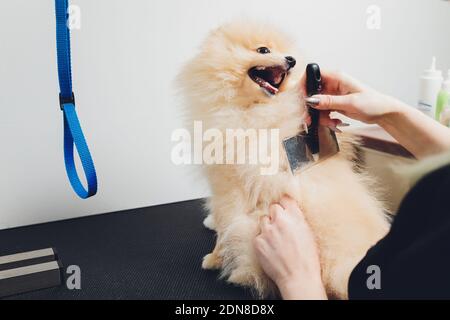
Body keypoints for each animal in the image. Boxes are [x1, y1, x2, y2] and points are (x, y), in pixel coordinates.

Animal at [178, 20, 388, 300]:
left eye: (286, 55)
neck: (249, 108)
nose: (292, 59)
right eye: (263, 50)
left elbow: (225, 224)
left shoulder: (231, 186)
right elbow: (219, 217)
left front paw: (214, 257)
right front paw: (211, 227)